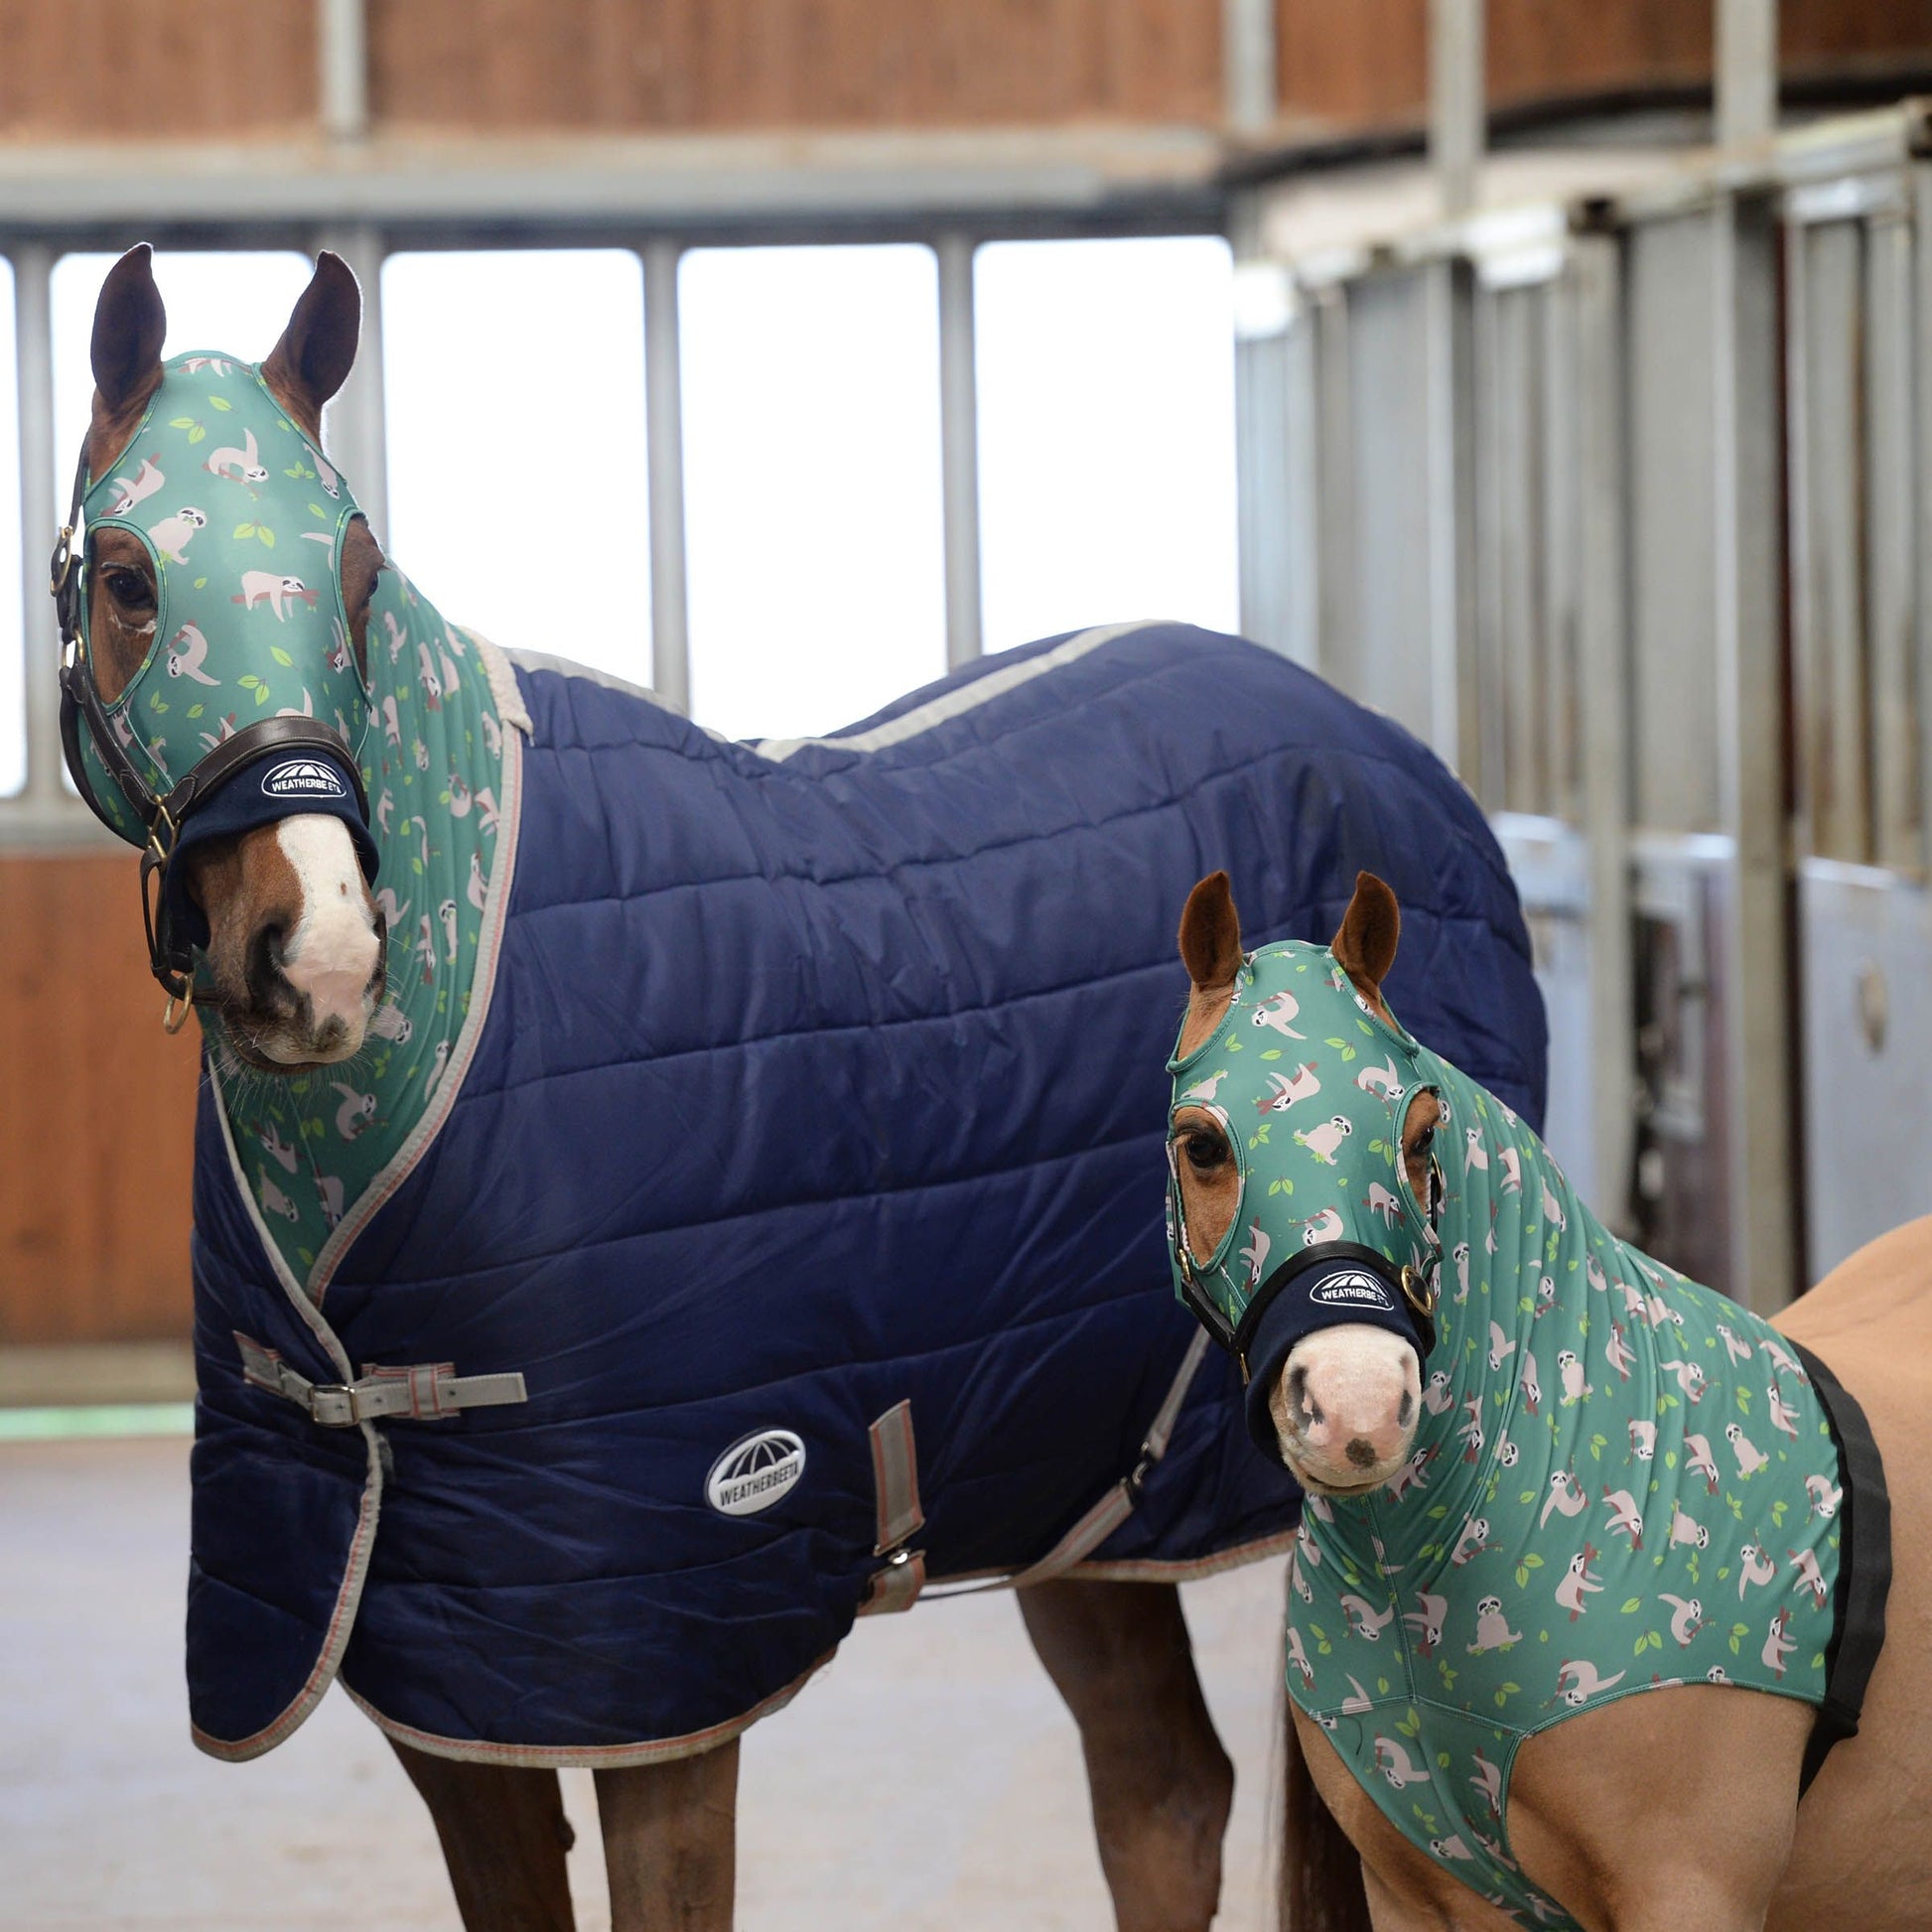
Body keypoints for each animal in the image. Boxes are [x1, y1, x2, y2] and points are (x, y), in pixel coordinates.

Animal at [63, 244, 1550, 1930]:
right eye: (127, 580)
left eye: (361, 577)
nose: (314, 952)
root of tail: (1395, 770)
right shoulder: (442, 1664)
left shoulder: (665, 1666)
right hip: (1080, 1493)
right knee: (1164, 1793)